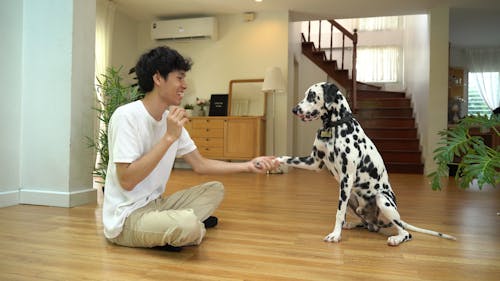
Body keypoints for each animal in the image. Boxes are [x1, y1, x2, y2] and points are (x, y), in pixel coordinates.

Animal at [278, 81, 458, 245]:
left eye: (311, 95)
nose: (294, 110)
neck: (335, 126)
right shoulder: (314, 162)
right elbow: (287, 159)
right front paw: (274, 160)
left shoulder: (347, 178)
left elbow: (339, 212)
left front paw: (335, 235)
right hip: (351, 197)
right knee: (370, 224)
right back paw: (354, 223)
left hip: (381, 199)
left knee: (405, 232)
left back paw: (396, 238)